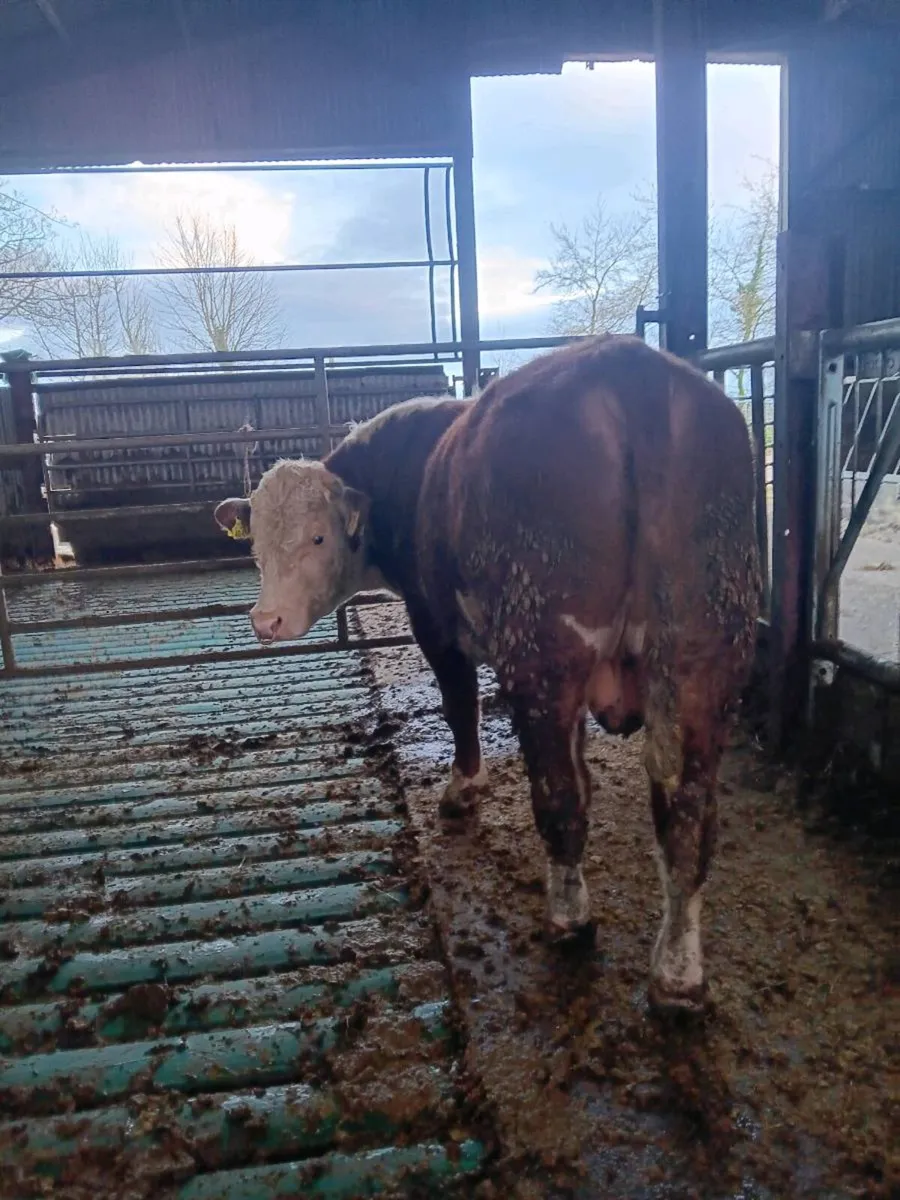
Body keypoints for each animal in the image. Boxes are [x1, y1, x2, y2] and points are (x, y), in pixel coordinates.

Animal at [214, 336, 760, 1013]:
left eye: (318, 537)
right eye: (254, 544)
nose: (266, 620)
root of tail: (631, 371)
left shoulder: (433, 622)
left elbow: (460, 706)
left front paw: (462, 786)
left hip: (543, 652)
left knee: (559, 802)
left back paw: (569, 920)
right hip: (702, 657)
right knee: (686, 826)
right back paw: (678, 975)